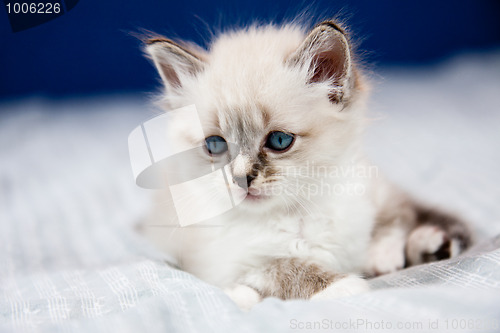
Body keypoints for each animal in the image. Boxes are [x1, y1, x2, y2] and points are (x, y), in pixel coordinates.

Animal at [141, 20, 472, 308]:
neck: (299, 214)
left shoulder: (374, 192)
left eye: (279, 141)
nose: (240, 178)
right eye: (215, 145)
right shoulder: (230, 263)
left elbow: (395, 217)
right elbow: (285, 267)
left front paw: (383, 252)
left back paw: (433, 243)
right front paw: (345, 286)